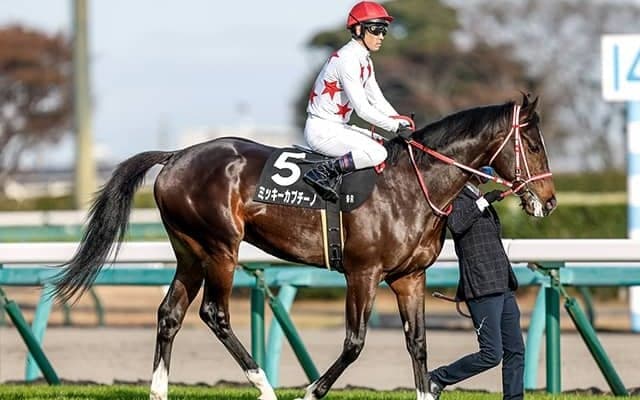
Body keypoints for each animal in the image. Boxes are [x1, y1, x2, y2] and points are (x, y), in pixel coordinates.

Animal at [53, 93, 556, 400]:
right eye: (533, 144)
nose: (549, 202)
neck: (412, 186)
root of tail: (175, 155)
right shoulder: (362, 273)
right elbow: (354, 343)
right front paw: (311, 390)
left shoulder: (409, 277)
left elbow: (418, 344)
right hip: (221, 248)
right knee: (215, 314)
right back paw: (265, 386)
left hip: (190, 251)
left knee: (169, 314)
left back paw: (160, 390)